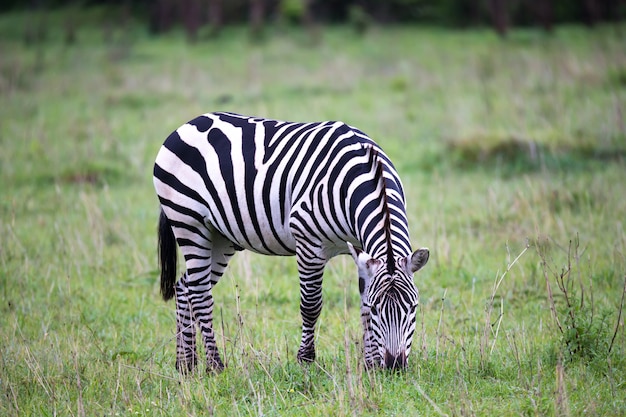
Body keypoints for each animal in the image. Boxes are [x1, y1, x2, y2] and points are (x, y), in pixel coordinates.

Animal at [153, 110, 426, 370]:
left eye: (413, 307)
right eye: (381, 309)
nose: (394, 366)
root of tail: (188, 124)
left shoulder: (361, 250)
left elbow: (363, 307)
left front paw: (370, 364)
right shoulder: (308, 242)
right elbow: (311, 305)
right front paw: (306, 359)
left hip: (219, 237)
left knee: (185, 288)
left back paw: (186, 364)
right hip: (189, 223)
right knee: (200, 294)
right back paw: (215, 366)